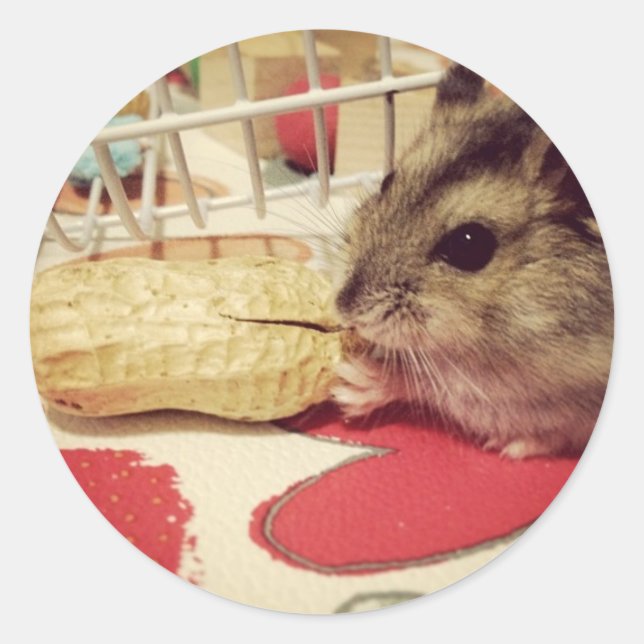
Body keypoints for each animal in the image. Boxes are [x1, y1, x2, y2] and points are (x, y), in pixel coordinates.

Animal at [333, 64, 613, 458]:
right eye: (387, 182)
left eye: (469, 245)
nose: (343, 309)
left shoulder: (509, 390)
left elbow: (436, 384)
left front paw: (352, 382)